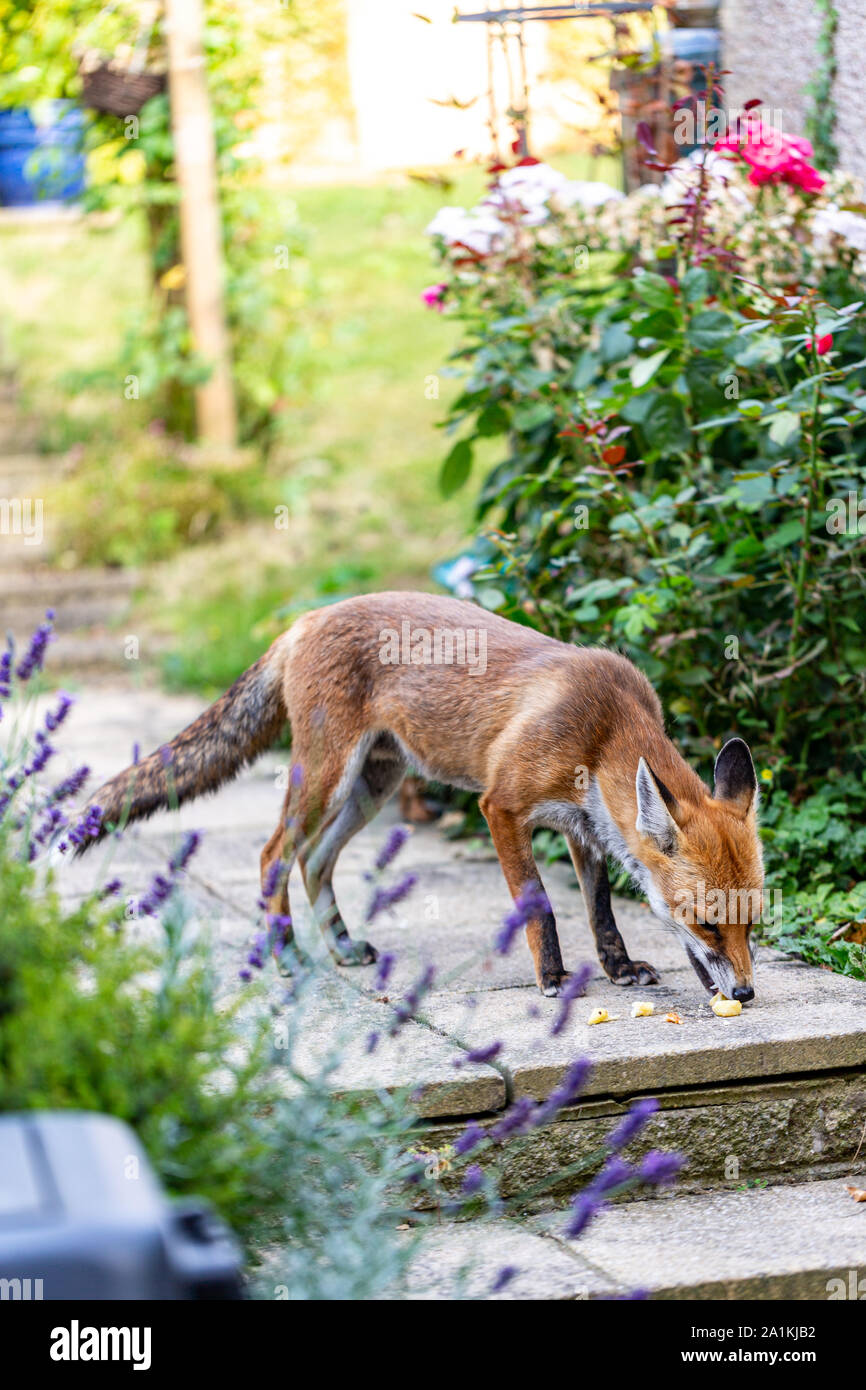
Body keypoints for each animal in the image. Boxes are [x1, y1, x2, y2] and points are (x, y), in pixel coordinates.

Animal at [81, 592, 763, 1002]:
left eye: (751, 923)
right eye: (706, 922)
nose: (746, 994)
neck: (603, 729)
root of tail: (305, 620)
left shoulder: (583, 826)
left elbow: (601, 913)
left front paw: (620, 970)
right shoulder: (502, 807)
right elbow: (540, 905)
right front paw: (551, 978)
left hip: (371, 788)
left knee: (314, 860)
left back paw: (340, 946)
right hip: (325, 777)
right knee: (274, 853)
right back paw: (286, 954)